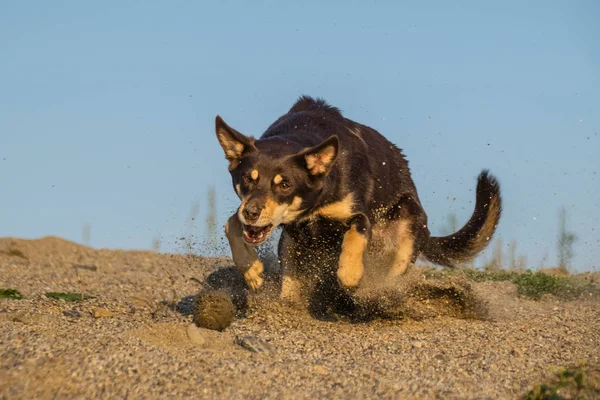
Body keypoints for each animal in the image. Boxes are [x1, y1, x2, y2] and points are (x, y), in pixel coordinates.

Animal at [216, 96, 502, 304]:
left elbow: (355, 235)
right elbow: (231, 224)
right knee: (290, 279)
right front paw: (251, 270)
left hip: (407, 222)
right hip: (290, 244)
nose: (251, 213)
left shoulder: (359, 214)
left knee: (393, 274)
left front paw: (350, 274)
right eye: (248, 179)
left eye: (284, 185)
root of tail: (426, 230)